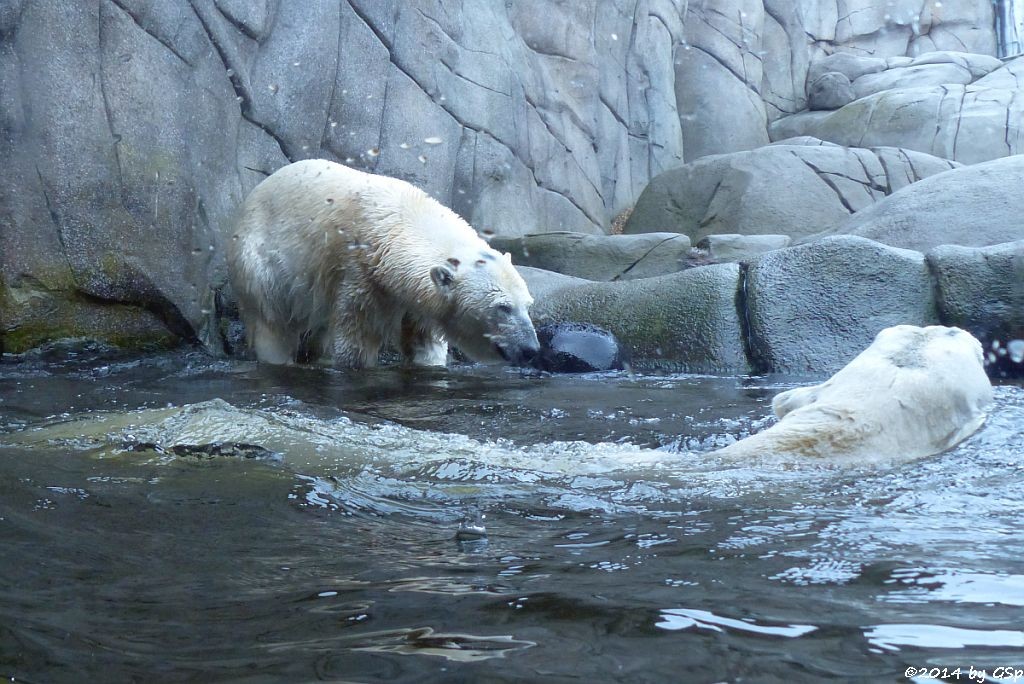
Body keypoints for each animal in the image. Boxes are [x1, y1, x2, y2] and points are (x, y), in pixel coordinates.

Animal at [227, 160, 540, 368]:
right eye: (502, 307)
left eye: (527, 304)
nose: (531, 348)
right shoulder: (361, 274)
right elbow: (357, 341)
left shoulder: (418, 298)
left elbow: (423, 342)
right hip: (260, 266)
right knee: (272, 322)